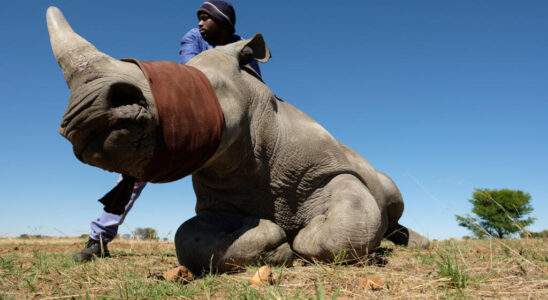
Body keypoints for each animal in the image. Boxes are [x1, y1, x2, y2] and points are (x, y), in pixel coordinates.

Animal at [47, 6, 428, 274]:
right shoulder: (220, 195)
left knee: (390, 196)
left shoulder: (335, 169)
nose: (84, 115)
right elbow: (189, 238)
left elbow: (349, 221)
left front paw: (301, 239)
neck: (258, 135)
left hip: (376, 174)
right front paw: (275, 242)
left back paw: (412, 243)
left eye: (201, 89)